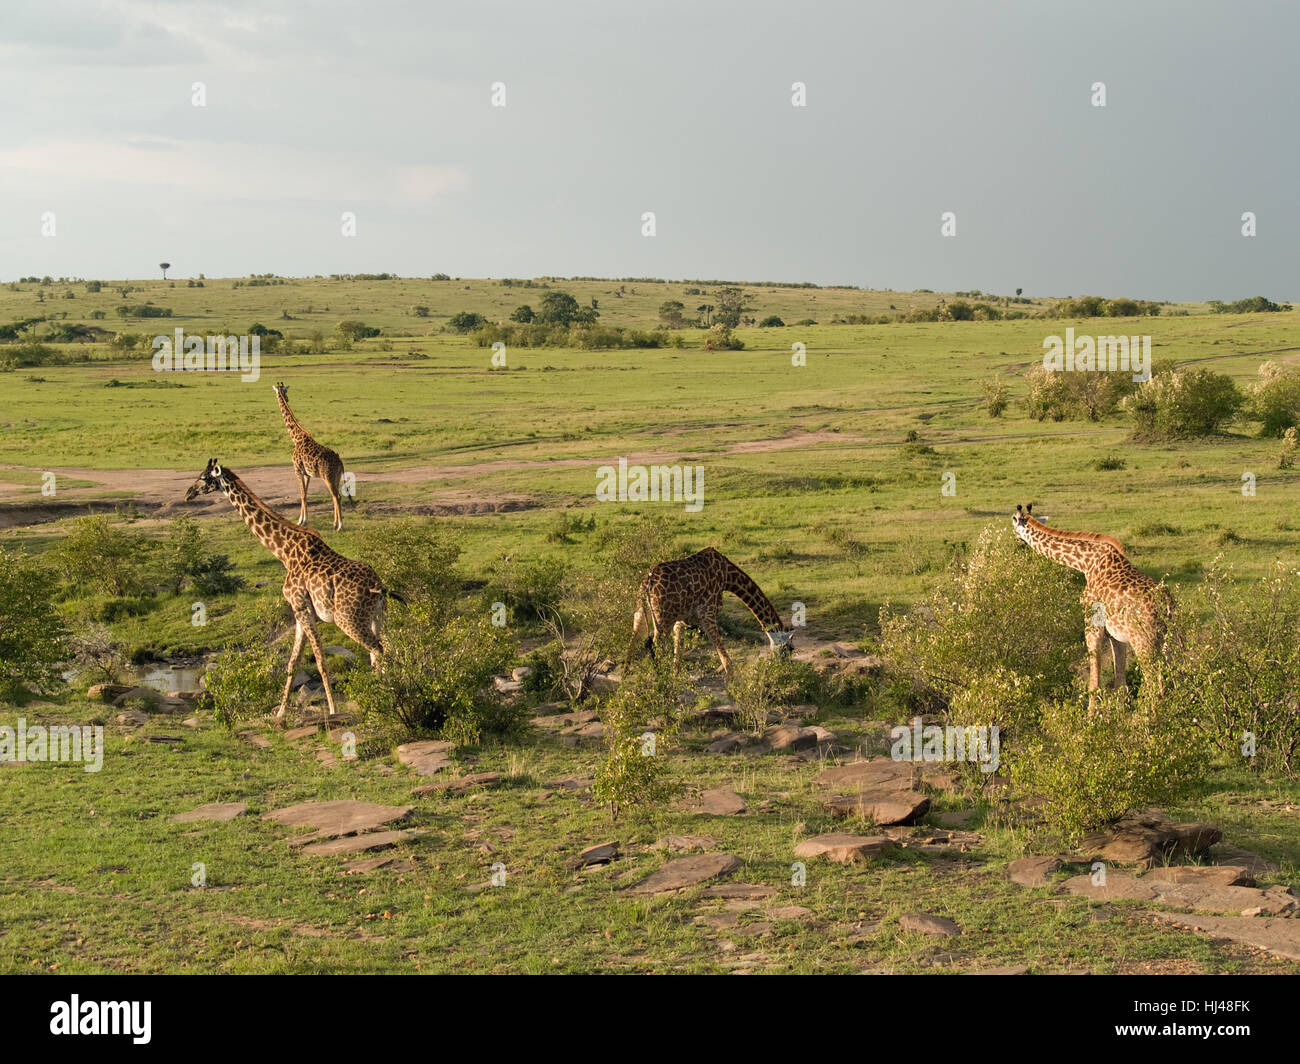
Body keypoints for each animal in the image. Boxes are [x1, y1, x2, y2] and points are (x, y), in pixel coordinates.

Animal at [183, 457, 395, 718]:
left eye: (203, 477)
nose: (188, 493)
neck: (283, 551)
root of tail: (378, 587)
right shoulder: (299, 612)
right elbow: (293, 662)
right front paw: (281, 712)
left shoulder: (301, 607)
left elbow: (320, 661)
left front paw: (333, 709)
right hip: (378, 617)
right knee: (386, 650)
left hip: (348, 620)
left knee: (378, 651)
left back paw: (387, 697)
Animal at [273, 382, 348, 530]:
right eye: (285, 392)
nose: (287, 398)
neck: (295, 437)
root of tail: (340, 462)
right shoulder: (307, 474)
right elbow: (305, 494)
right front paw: (303, 520)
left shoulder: (297, 470)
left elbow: (302, 495)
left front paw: (301, 521)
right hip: (336, 477)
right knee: (336, 496)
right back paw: (334, 523)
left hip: (328, 477)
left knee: (337, 496)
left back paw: (340, 526)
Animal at [629, 543, 790, 676]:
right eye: (788, 650)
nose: (782, 669)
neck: (727, 577)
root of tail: (647, 583)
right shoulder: (707, 613)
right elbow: (724, 657)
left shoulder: (681, 619)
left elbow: (678, 653)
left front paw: (675, 678)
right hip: (663, 618)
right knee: (655, 646)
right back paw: (659, 679)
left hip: (641, 612)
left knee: (632, 643)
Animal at [1008, 504, 1175, 697]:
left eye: (1014, 524)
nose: (1017, 541)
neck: (1084, 563)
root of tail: (1166, 605)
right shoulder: (1115, 635)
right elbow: (1120, 683)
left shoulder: (1092, 624)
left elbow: (1094, 684)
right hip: (1171, 639)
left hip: (1144, 641)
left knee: (1155, 685)